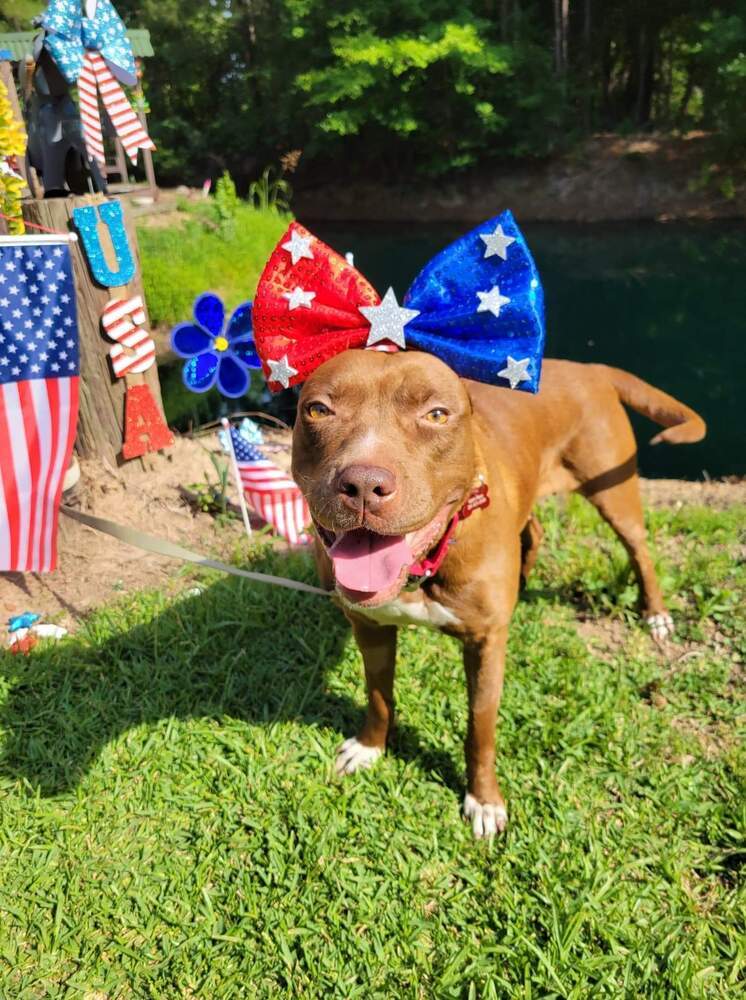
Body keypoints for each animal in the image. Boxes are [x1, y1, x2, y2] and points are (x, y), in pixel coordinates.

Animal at [290, 352, 704, 836]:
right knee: (534, 529)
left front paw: (484, 800)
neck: (424, 565)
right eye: (319, 409)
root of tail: (589, 367)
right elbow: (378, 695)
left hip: (613, 491)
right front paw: (369, 747)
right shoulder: (369, 626)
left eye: (436, 414)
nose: (363, 484)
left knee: (640, 550)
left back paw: (655, 614)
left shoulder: (485, 645)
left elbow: (480, 728)